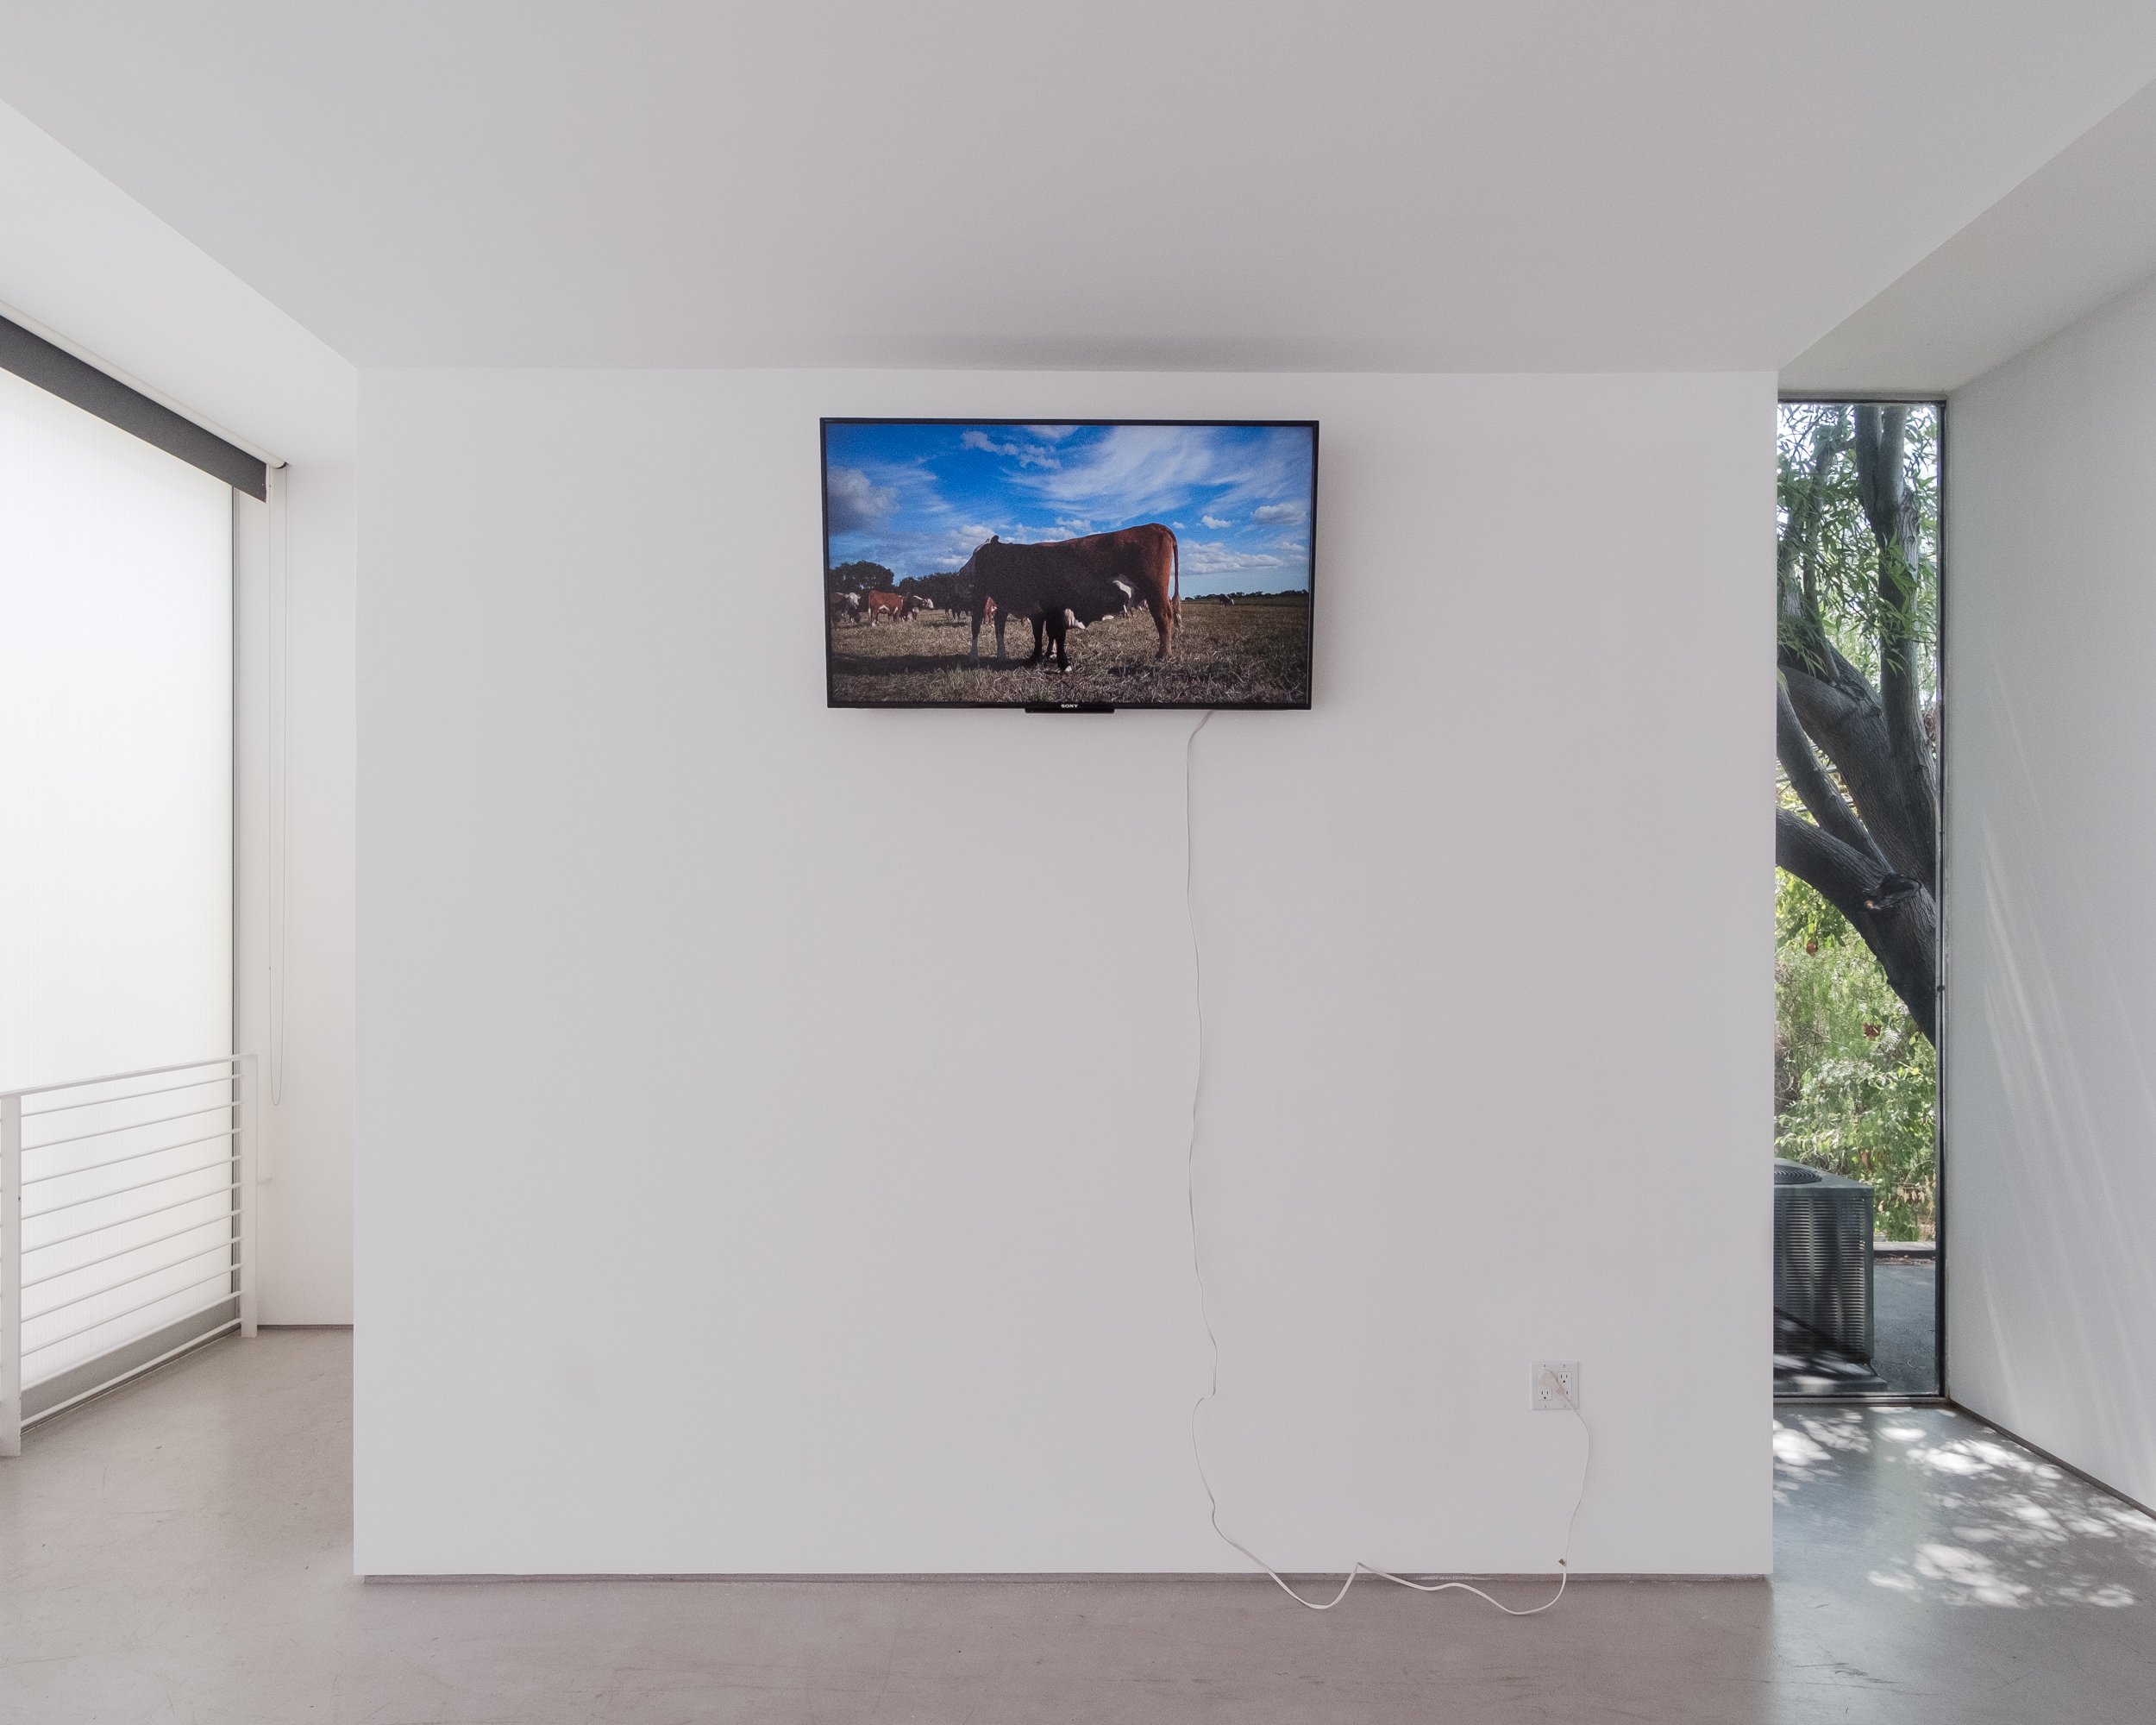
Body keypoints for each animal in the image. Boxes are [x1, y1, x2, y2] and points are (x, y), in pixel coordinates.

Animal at [961, 524, 1179, 670]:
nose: (964, 570)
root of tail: (1153, 526)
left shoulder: (1047, 609)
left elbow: (1051, 633)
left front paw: (1052, 658)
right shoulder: (1042, 609)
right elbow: (1045, 634)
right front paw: (1044, 657)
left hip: (1155, 591)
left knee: (1163, 616)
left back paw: (1163, 654)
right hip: (984, 594)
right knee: (985, 623)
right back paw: (985, 656)